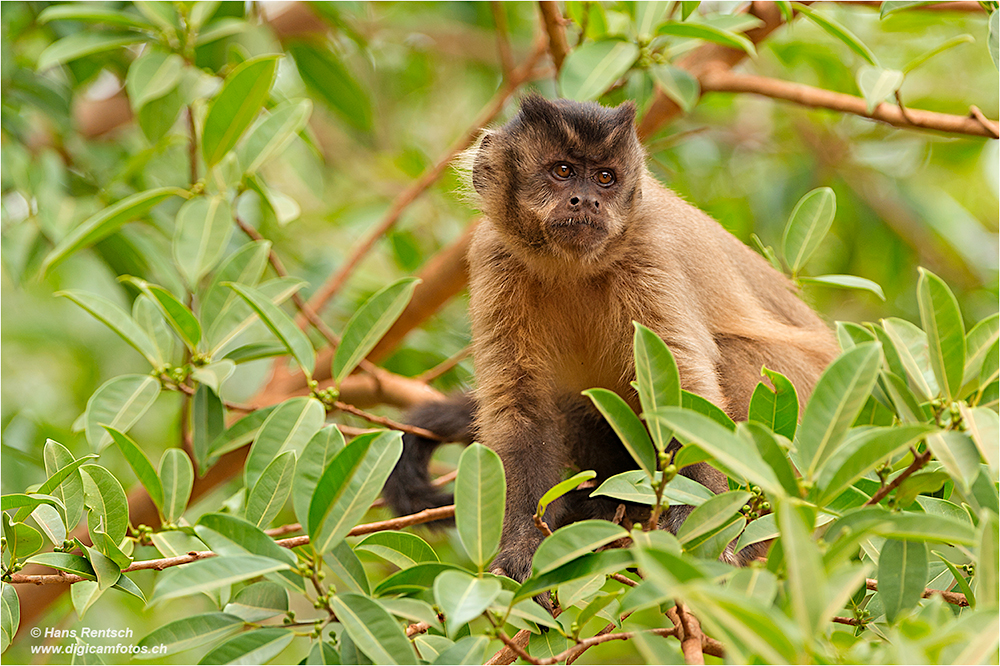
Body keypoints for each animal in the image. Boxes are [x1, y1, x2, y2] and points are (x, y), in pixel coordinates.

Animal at [380, 93, 836, 580]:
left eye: (604, 177)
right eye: (563, 171)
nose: (587, 201)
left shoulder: (649, 249)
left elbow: (684, 391)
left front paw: (705, 539)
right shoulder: (494, 256)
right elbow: (520, 404)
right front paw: (522, 550)